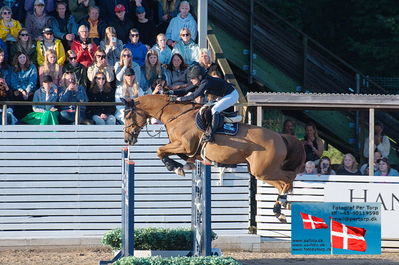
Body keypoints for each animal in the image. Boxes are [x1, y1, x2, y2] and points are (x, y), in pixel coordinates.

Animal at [125, 94, 306, 220]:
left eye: (127, 116)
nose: (127, 139)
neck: (176, 115)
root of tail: (281, 137)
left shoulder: (184, 145)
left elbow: (160, 150)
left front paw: (174, 167)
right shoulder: (186, 148)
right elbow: (176, 154)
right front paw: (184, 166)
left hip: (263, 170)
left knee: (287, 179)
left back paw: (281, 206)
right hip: (260, 171)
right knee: (283, 182)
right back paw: (281, 208)